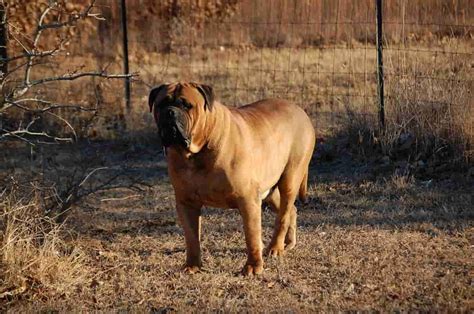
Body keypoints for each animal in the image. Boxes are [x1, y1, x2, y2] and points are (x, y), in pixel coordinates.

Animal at [148, 81, 316, 274]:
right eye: (161, 104)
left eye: (187, 105)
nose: (170, 112)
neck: (197, 152)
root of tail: (300, 110)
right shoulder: (186, 203)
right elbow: (191, 238)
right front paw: (192, 266)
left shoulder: (247, 200)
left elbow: (251, 236)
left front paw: (253, 267)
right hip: (269, 189)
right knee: (290, 210)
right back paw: (288, 243)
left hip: (290, 179)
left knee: (283, 215)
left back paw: (275, 247)